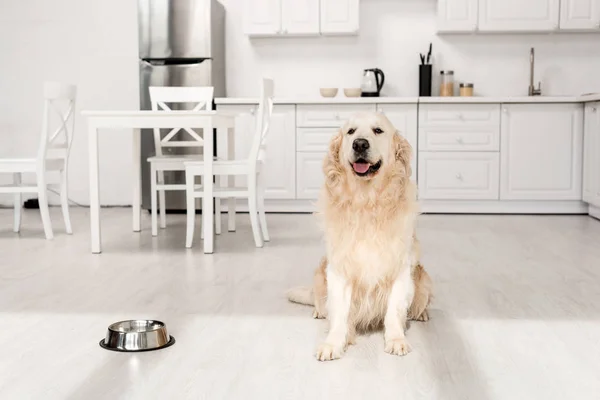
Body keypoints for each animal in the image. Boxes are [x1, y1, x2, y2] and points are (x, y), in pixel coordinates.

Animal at [288, 111, 432, 360]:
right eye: (351, 132)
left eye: (378, 130)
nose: (360, 144)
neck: (367, 202)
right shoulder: (339, 269)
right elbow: (339, 314)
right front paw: (333, 343)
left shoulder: (400, 269)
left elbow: (394, 311)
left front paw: (396, 339)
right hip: (320, 276)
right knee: (321, 303)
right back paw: (319, 311)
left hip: (423, 279)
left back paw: (421, 314)